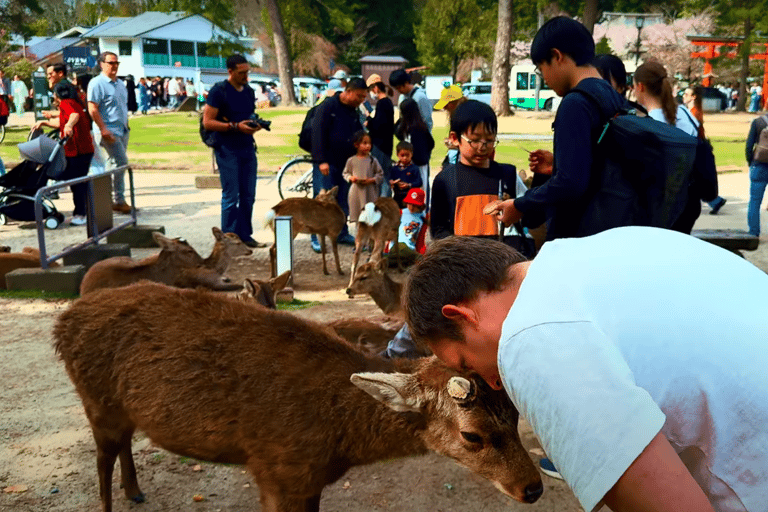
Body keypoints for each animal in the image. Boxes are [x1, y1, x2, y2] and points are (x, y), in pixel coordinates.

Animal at [54, 280, 544, 512]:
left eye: (515, 415)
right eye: (472, 436)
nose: (533, 487)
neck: (339, 441)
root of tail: (62, 322)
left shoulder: (305, 480)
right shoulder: (278, 470)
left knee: (123, 445)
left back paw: (135, 491)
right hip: (95, 400)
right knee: (102, 457)